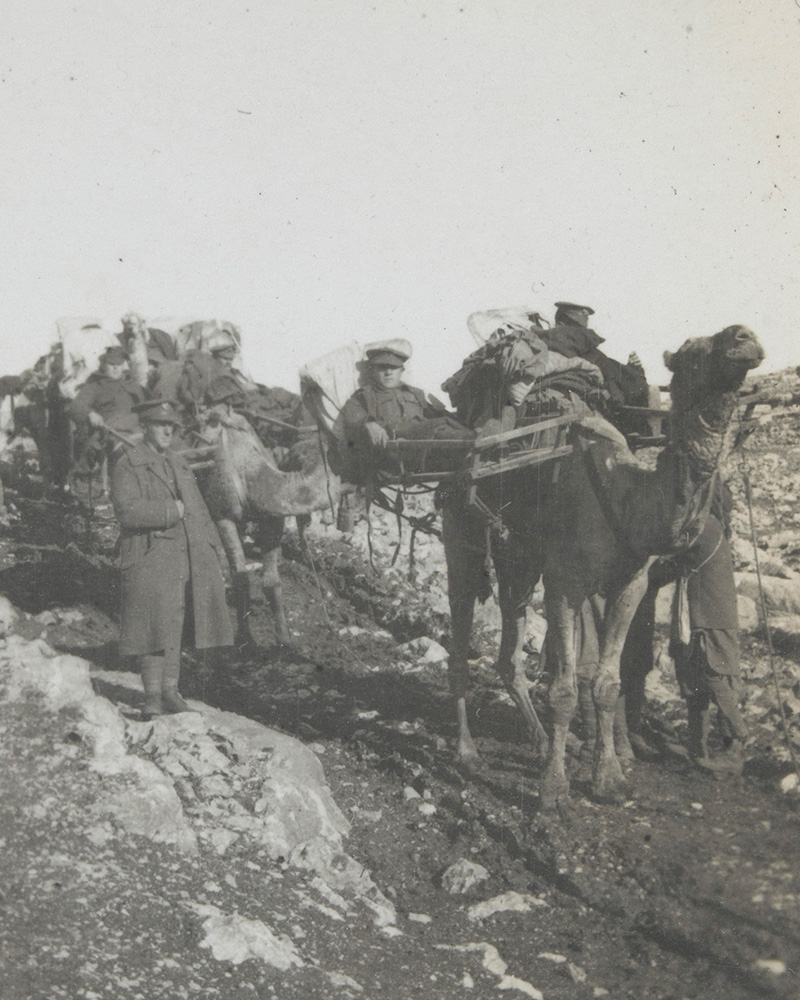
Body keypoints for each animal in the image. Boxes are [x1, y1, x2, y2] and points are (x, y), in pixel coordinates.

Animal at [440, 324, 764, 808]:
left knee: (509, 650)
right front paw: (554, 788)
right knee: (460, 638)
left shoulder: (630, 584)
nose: (743, 338)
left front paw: (609, 777)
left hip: (518, 556)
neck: (626, 496)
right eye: (692, 354)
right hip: (461, 533)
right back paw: (467, 751)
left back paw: (542, 743)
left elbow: (607, 682)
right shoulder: (564, 583)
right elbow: (564, 689)